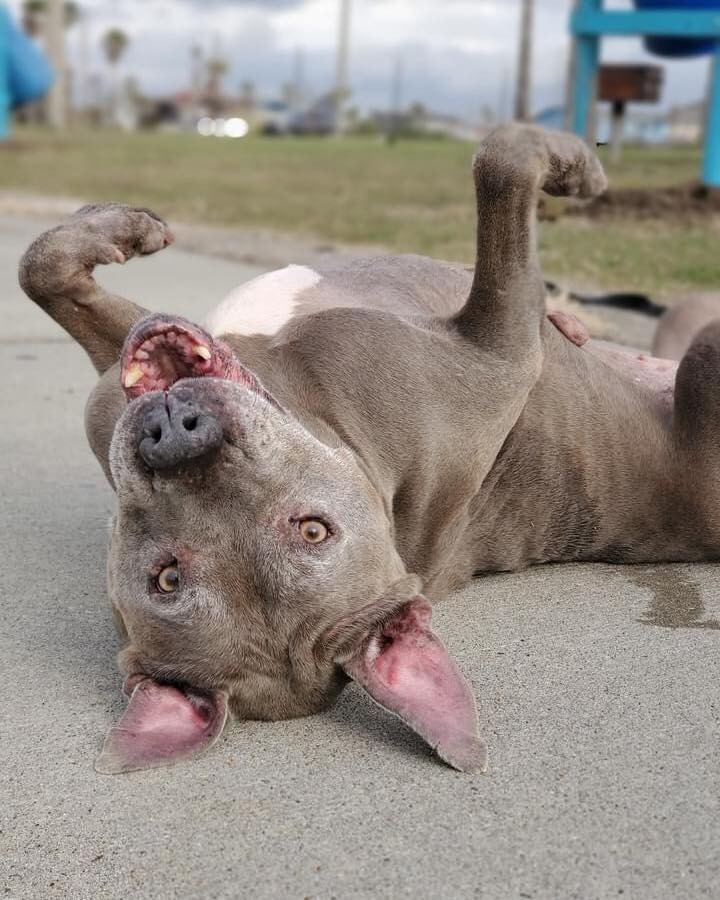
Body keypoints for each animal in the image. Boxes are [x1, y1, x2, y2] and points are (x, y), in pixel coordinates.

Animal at [18, 125, 720, 772]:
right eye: (165, 578)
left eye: (312, 531)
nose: (176, 438)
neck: (318, 408)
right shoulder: (501, 345)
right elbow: (501, 162)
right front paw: (578, 168)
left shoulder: (112, 380)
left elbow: (42, 268)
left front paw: (117, 227)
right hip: (703, 358)